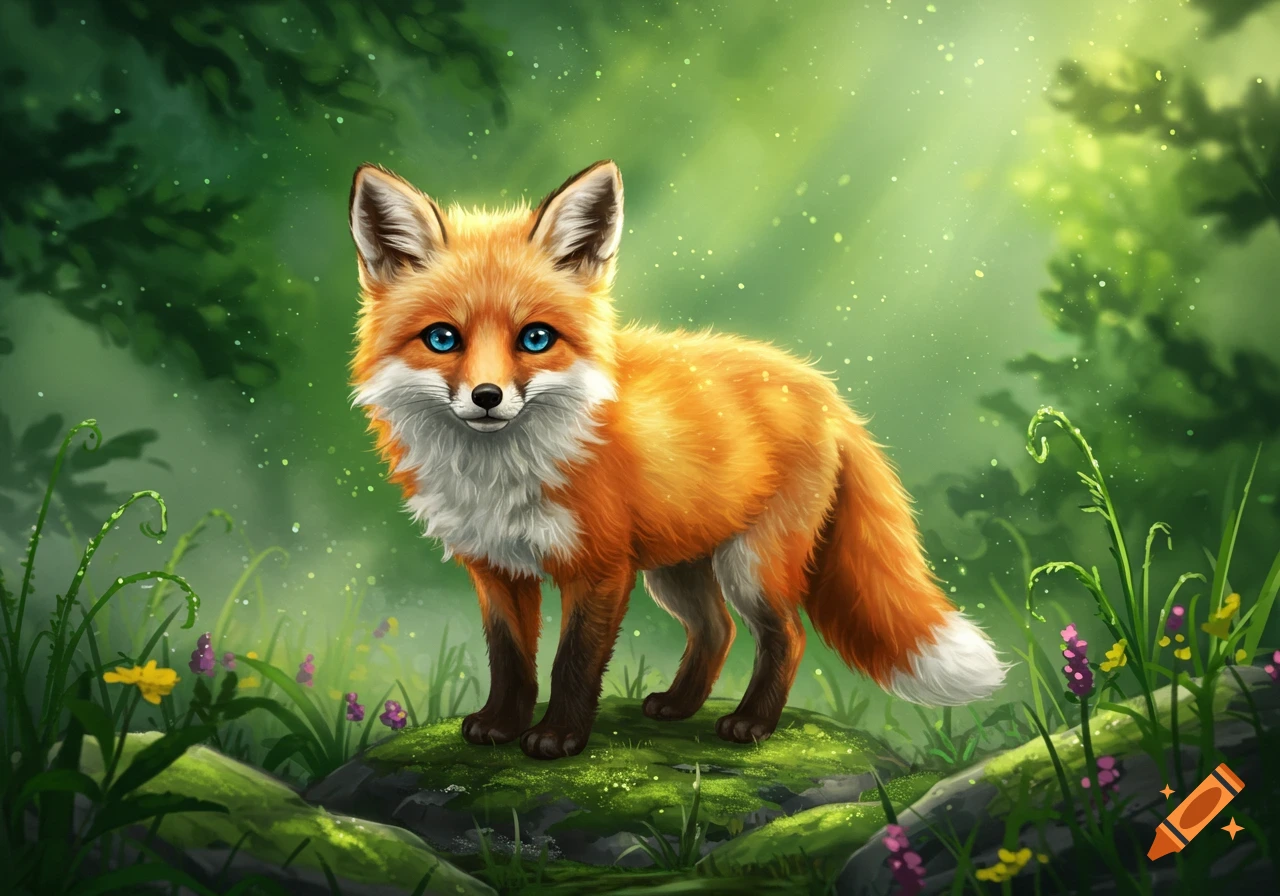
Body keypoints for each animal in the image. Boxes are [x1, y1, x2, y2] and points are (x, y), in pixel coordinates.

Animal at [347, 159, 1008, 760]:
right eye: (443, 338)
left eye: (535, 338)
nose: (487, 397)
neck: (500, 474)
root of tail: (822, 387)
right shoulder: (496, 567)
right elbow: (511, 661)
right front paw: (500, 725)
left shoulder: (601, 567)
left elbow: (572, 663)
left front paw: (558, 738)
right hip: (677, 567)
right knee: (717, 629)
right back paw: (679, 705)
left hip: (751, 565)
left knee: (786, 635)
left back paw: (752, 724)